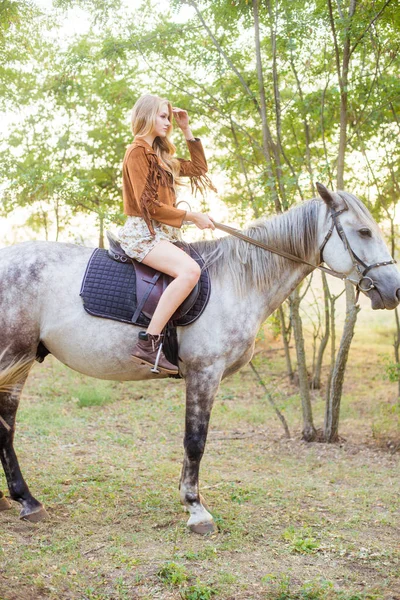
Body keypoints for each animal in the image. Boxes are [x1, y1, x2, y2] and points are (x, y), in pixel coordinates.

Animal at [0, 184, 400, 536]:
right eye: (364, 231)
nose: (394, 290)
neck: (238, 281)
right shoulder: (204, 372)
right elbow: (195, 441)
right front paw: (196, 509)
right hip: (15, 358)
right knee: (6, 429)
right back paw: (27, 501)